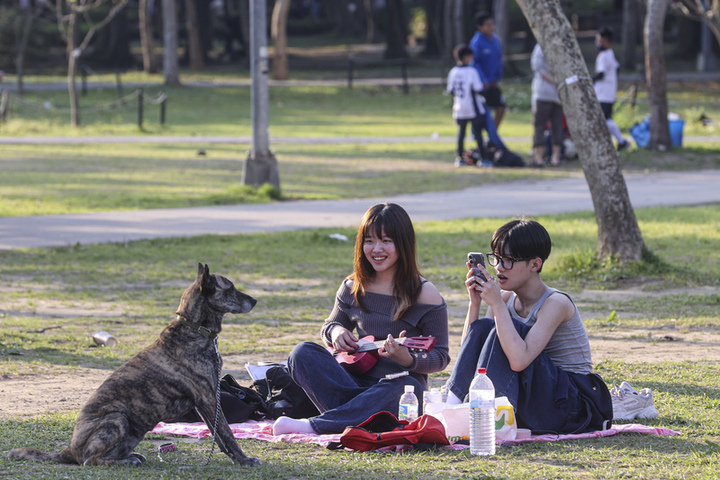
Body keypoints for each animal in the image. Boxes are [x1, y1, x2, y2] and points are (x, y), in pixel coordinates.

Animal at [9, 262, 262, 464]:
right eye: (230, 289)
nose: (255, 300)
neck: (194, 328)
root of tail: (68, 450)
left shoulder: (206, 403)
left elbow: (219, 436)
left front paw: (236, 459)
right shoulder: (208, 398)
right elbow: (227, 433)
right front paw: (245, 460)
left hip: (133, 430)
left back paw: (129, 457)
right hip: (117, 419)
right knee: (91, 460)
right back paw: (125, 461)